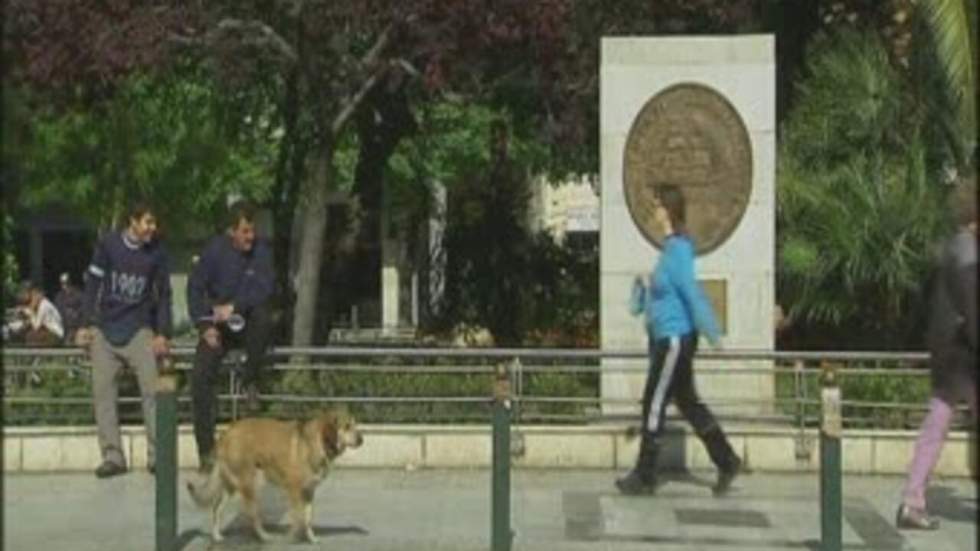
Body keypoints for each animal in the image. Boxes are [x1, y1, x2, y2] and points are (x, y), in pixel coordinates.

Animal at [188, 410, 364, 544]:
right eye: (347, 426)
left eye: (354, 424)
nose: (361, 439)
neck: (318, 442)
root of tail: (226, 434)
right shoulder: (294, 490)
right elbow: (299, 517)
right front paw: (292, 537)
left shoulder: (309, 491)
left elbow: (308, 518)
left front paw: (311, 538)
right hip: (251, 484)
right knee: (252, 514)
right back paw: (264, 536)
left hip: (231, 486)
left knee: (216, 508)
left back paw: (217, 536)